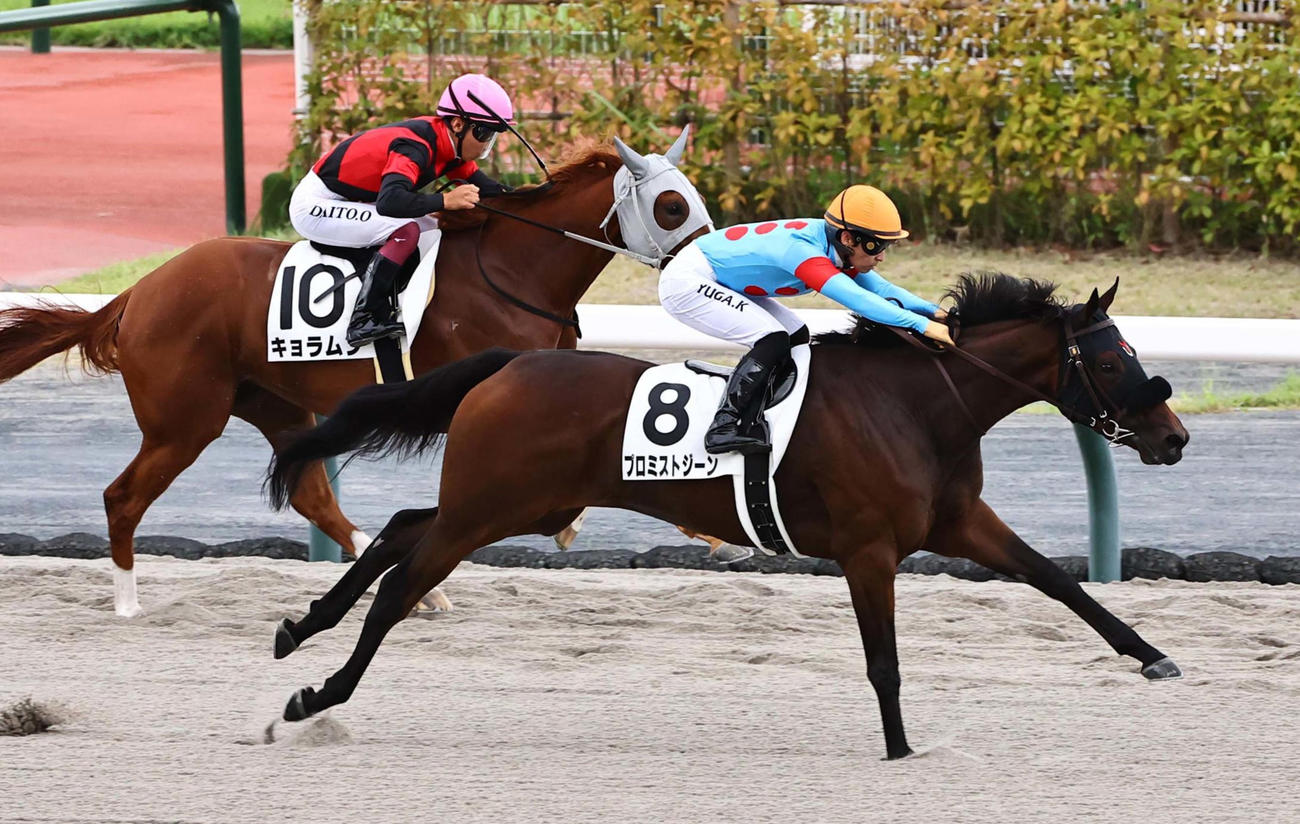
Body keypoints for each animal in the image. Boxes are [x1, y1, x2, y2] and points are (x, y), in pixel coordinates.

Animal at [0, 135, 712, 617]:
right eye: (671, 206)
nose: (706, 266)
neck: (515, 270)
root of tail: (137, 293)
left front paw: (702, 526)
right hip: (184, 422)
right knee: (123, 497)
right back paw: (127, 602)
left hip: (275, 406)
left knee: (311, 494)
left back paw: (412, 589)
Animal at [265, 273, 1190, 759]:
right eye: (1114, 360)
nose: (1175, 438)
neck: (920, 406)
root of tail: (509, 362)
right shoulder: (869, 548)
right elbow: (883, 661)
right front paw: (899, 748)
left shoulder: (956, 524)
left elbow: (1059, 584)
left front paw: (1153, 657)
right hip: (491, 508)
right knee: (400, 586)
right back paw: (315, 695)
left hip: (518, 503)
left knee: (401, 526)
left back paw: (299, 627)